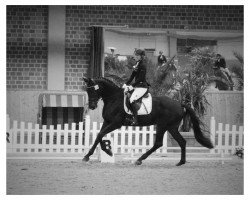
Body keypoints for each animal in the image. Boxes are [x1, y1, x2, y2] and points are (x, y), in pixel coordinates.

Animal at [82, 76, 213, 166]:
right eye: (87, 91)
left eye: (93, 90)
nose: (92, 106)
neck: (114, 98)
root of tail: (180, 104)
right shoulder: (107, 122)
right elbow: (98, 136)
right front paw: (88, 156)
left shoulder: (116, 123)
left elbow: (101, 134)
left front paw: (108, 151)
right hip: (171, 127)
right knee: (181, 142)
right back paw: (181, 162)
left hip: (162, 125)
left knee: (158, 143)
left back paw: (139, 160)